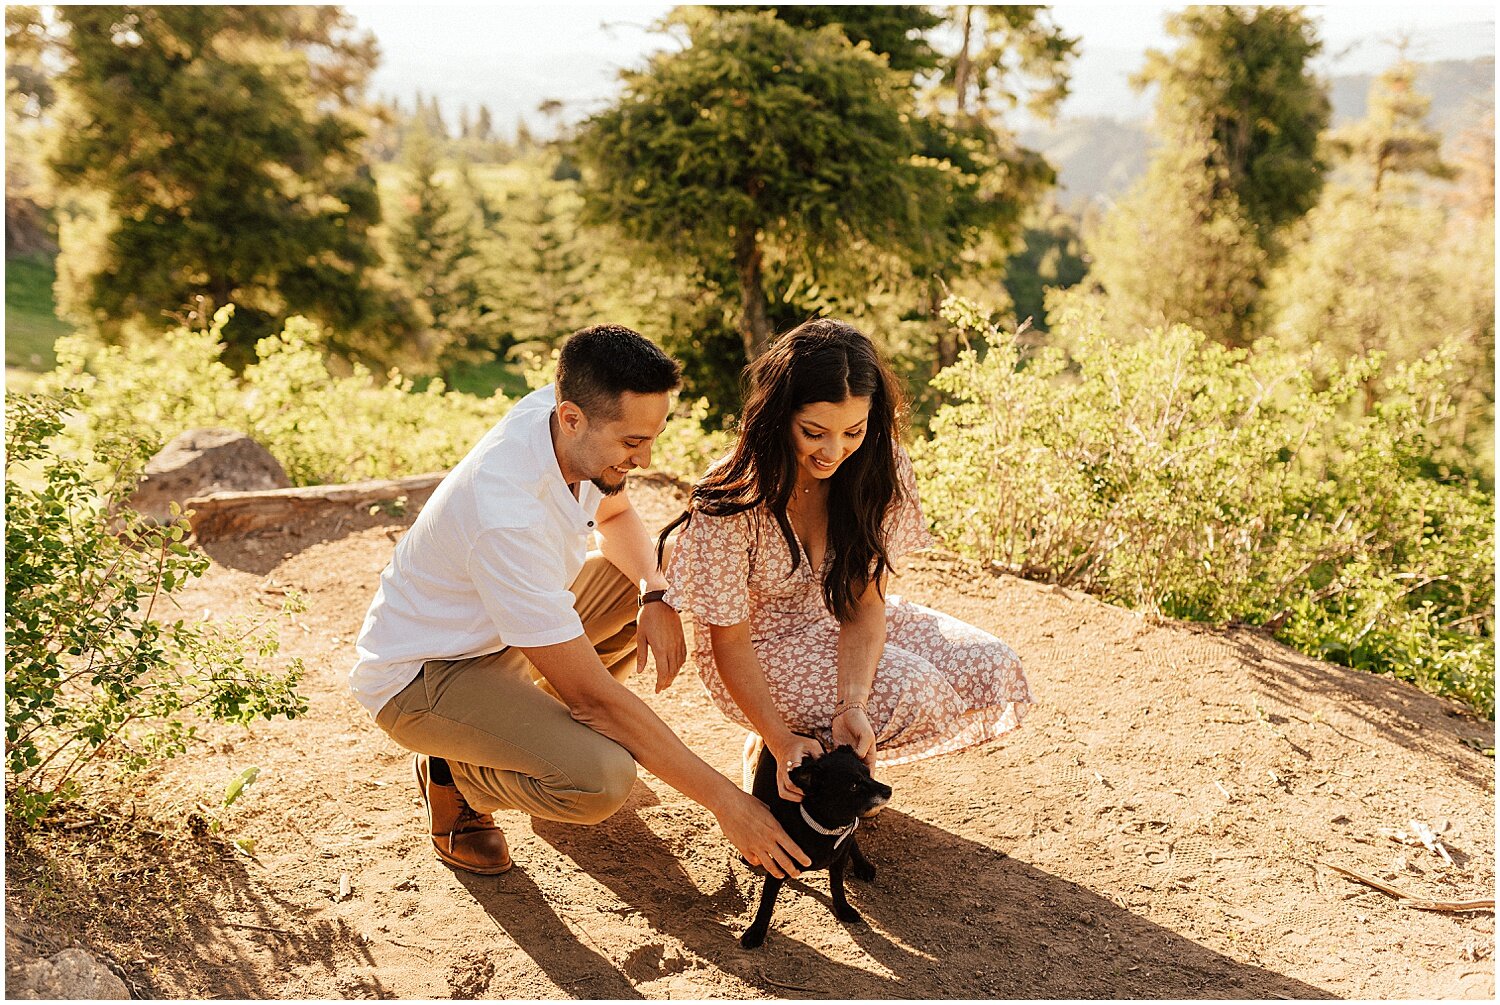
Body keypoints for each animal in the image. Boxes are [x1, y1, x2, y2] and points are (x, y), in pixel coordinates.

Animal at [738, 744, 888, 948]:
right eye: (854, 786)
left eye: (868, 773)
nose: (888, 790)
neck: (827, 830)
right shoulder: (779, 864)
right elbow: (767, 902)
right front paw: (756, 932)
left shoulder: (839, 859)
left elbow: (837, 885)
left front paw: (843, 908)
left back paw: (862, 865)